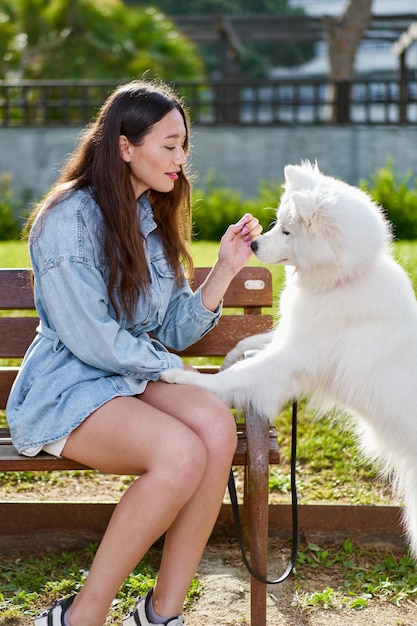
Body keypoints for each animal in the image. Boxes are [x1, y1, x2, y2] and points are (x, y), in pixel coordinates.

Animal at [160, 160, 417, 556]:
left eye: (285, 230)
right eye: (274, 223)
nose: (252, 243)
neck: (343, 279)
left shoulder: (294, 358)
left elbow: (240, 376)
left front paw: (189, 378)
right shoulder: (289, 337)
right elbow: (248, 344)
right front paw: (227, 358)